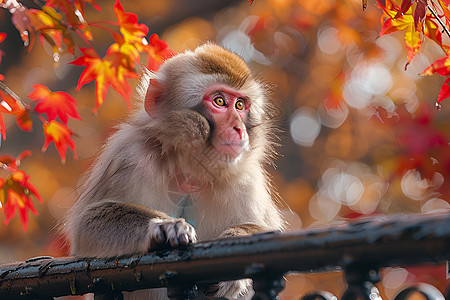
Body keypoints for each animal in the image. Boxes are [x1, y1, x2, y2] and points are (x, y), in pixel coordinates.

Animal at [66, 43, 284, 298]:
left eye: (240, 105)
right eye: (219, 101)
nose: (238, 128)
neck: (190, 168)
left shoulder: (247, 181)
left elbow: (268, 233)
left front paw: (236, 242)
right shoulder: (128, 156)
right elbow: (86, 225)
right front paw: (163, 226)